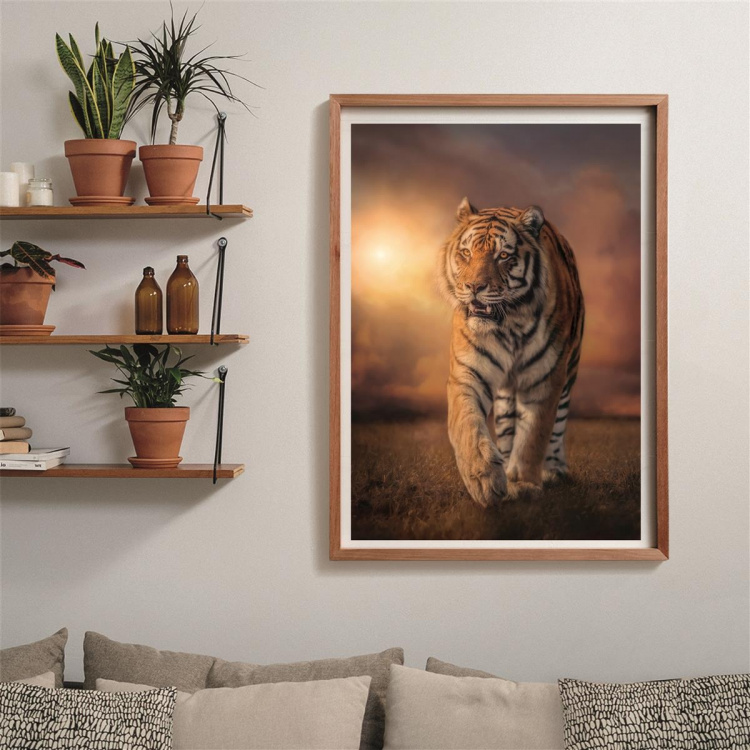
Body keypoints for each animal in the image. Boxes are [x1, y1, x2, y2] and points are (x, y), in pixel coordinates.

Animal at [438, 198, 585, 507]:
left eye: (503, 255)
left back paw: (554, 470)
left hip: (569, 373)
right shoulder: (467, 373)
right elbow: (467, 424)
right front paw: (484, 479)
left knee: (557, 426)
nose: (474, 287)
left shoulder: (545, 378)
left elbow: (533, 436)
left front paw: (524, 483)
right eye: (466, 253)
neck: (509, 325)